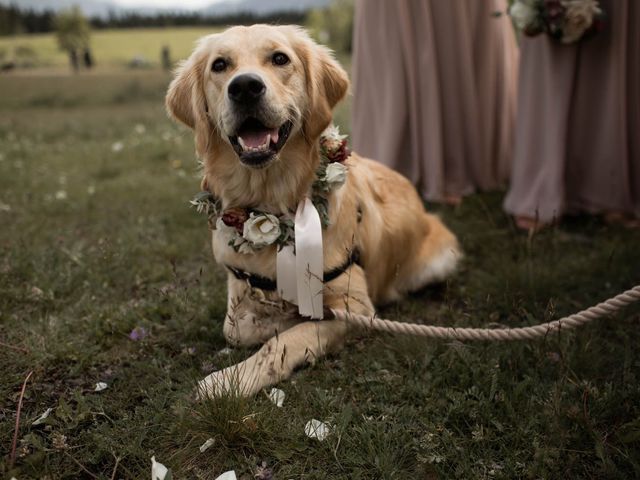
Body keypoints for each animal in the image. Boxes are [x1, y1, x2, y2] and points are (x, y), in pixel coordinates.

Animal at [165, 24, 460, 398]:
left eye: (279, 58)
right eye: (220, 65)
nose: (244, 87)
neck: (271, 203)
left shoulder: (354, 306)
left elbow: (284, 341)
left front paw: (230, 380)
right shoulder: (240, 290)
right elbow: (238, 329)